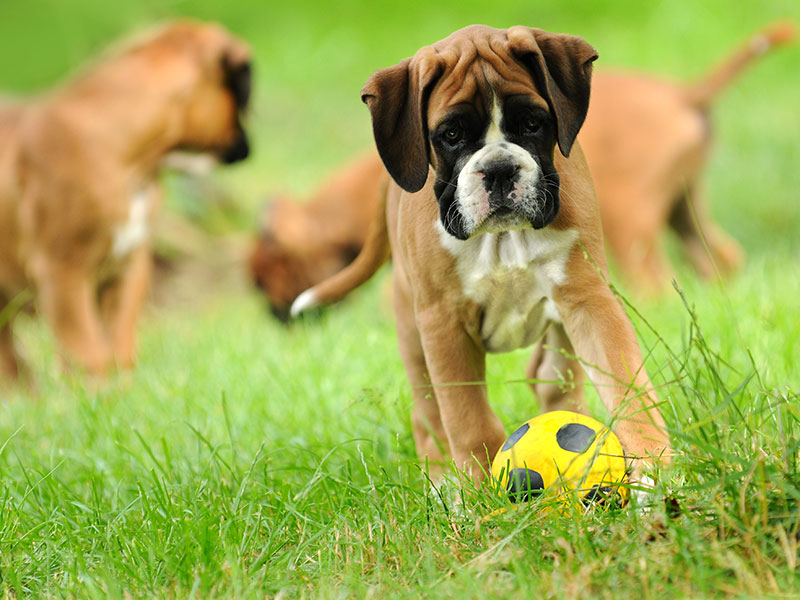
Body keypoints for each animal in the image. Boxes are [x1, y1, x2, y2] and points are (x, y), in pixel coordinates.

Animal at [0, 23, 250, 382]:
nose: (247, 148)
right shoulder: (62, 274)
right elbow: (86, 348)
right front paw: (97, 391)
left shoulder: (129, 268)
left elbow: (117, 338)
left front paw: (122, 387)